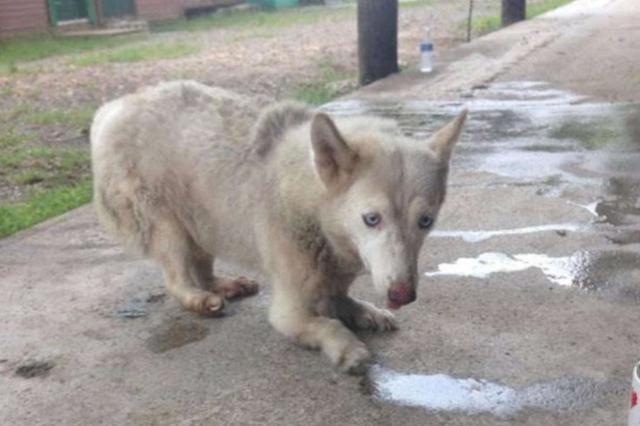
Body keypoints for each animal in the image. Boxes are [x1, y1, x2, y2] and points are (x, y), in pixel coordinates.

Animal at [90, 80, 464, 372]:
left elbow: (344, 302)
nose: (403, 295)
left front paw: (368, 312)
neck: (314, 210)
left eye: (426, 221)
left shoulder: (332, 282)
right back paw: (200, 299)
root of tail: (112, 108)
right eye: (371, 219)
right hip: (170, 231)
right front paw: (348, 348)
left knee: (203, 269)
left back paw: (225, 285)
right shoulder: (289, 313)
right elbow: (328, 325)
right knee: (177, 281)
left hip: (206, 221)